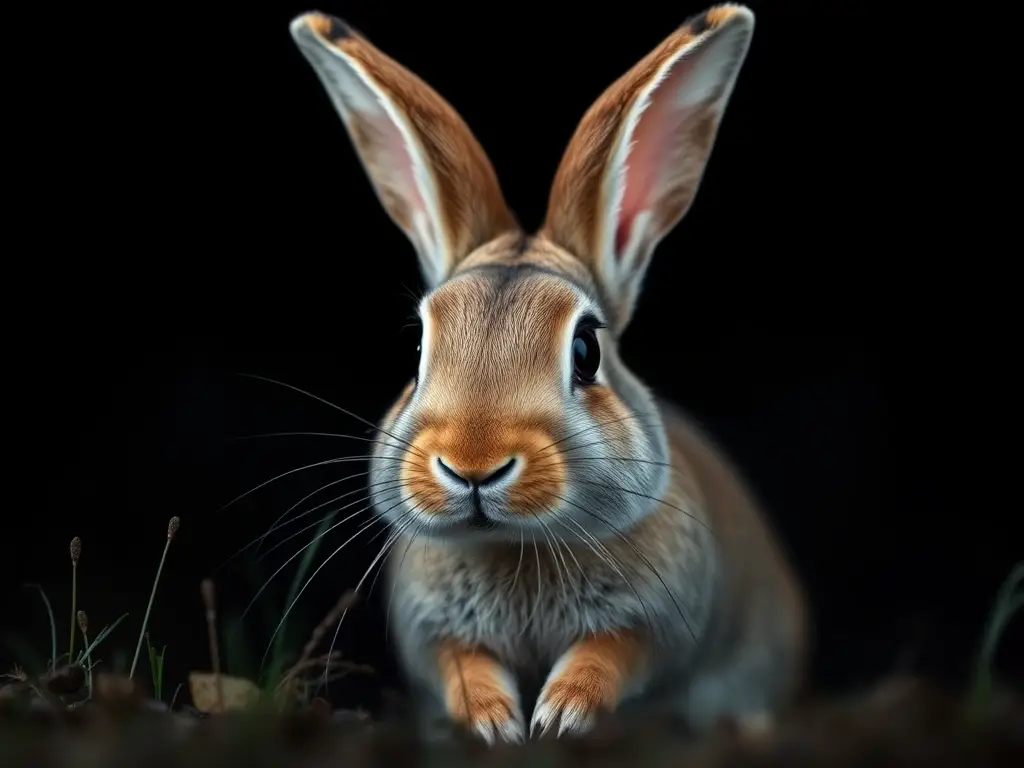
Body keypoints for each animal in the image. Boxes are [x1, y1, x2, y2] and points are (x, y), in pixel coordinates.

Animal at [289, 3, 808, 745]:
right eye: (417, 349)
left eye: (586, 350)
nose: (473, 465)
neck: (514, 546)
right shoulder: (435, 633)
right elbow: (462, 663)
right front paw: (493, 722)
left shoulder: (660, 619)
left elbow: (613, 651)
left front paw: (562, 715)